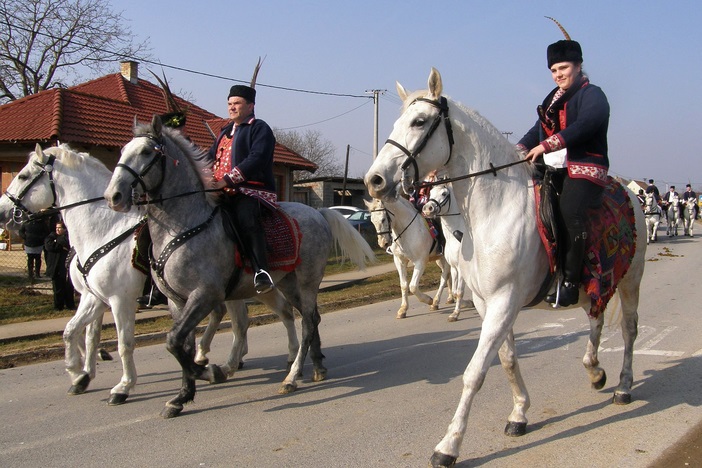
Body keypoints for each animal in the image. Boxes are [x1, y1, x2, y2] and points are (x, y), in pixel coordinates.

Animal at [104, 116, 374, 416]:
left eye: (146, 152)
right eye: (122, 150)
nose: (114, 196)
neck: (182, 227)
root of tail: (318, 213)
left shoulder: (205, 295)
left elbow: (174, 342)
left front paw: (210, 371)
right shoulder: (177, 301)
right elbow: (182, 344)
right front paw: (182, 396)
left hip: (307, 281)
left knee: (306, 322)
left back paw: (292, 377)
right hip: (287, 283)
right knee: (310, 318)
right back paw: (317, 366)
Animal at [420, 180, 476, 322]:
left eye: (444, 193)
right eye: (430, 193)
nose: (427, 209)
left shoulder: (461, 268)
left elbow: (459, 291)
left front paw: (455, 314)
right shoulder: (454, 268)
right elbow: (455, 291)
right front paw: (464, 305)